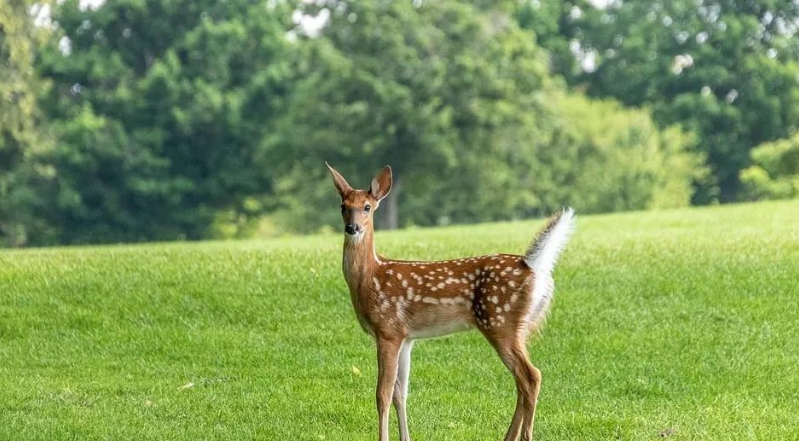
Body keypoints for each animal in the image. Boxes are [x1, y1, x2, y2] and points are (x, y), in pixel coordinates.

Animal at [324, 162, 576, 440]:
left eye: (367, 207)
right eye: (343, 206)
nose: (352, 228)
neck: (370, 278)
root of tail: (533, 266)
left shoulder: (388, 330)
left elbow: (383, 394)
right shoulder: (407, 337)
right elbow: (401, 394)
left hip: (501, 321)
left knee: (531, 376)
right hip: (521, 327)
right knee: (521, 381)